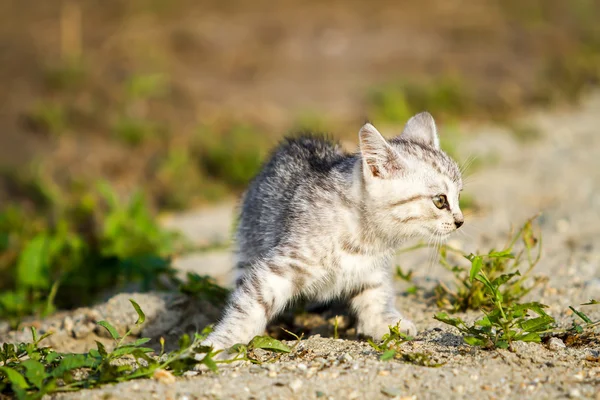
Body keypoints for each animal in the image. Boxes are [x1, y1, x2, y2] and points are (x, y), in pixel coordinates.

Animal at [204, 112, 462, 350]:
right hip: (247, 243)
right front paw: (221, 343)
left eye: (459, 194)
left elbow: (375, 293)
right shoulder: (280, 267)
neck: (364, 236)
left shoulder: (371, 268)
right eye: (440, 201)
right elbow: (251, 305)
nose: (460, 221)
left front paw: (383, 322)